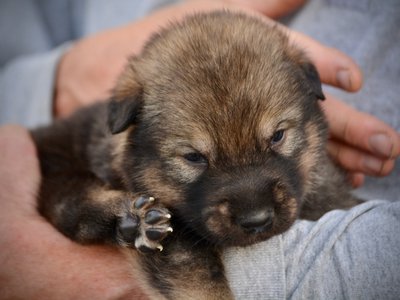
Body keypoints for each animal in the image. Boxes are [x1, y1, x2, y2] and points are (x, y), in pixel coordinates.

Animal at [32, 10, 360, 298]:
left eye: (278, 136)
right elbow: (200, 283)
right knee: (71, 204)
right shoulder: (176, 241)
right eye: (193, 157)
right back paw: (130, 217)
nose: (256, 221)